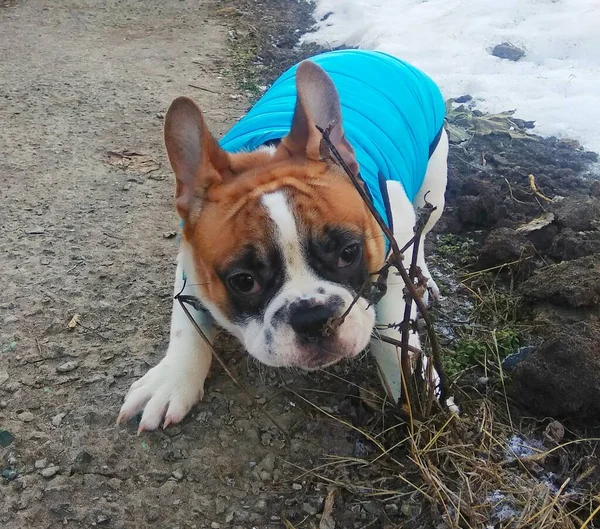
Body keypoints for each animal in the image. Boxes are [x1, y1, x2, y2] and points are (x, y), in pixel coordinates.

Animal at [118, 48, 446, 434]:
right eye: (244, 281)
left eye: (348, 253)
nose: (313, 317)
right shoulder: (191, 256)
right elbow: (186, 322)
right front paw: (173, 378)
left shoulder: (393, 220)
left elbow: (396, 308)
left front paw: (412, 386)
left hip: (433, 184)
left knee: (421, 235)